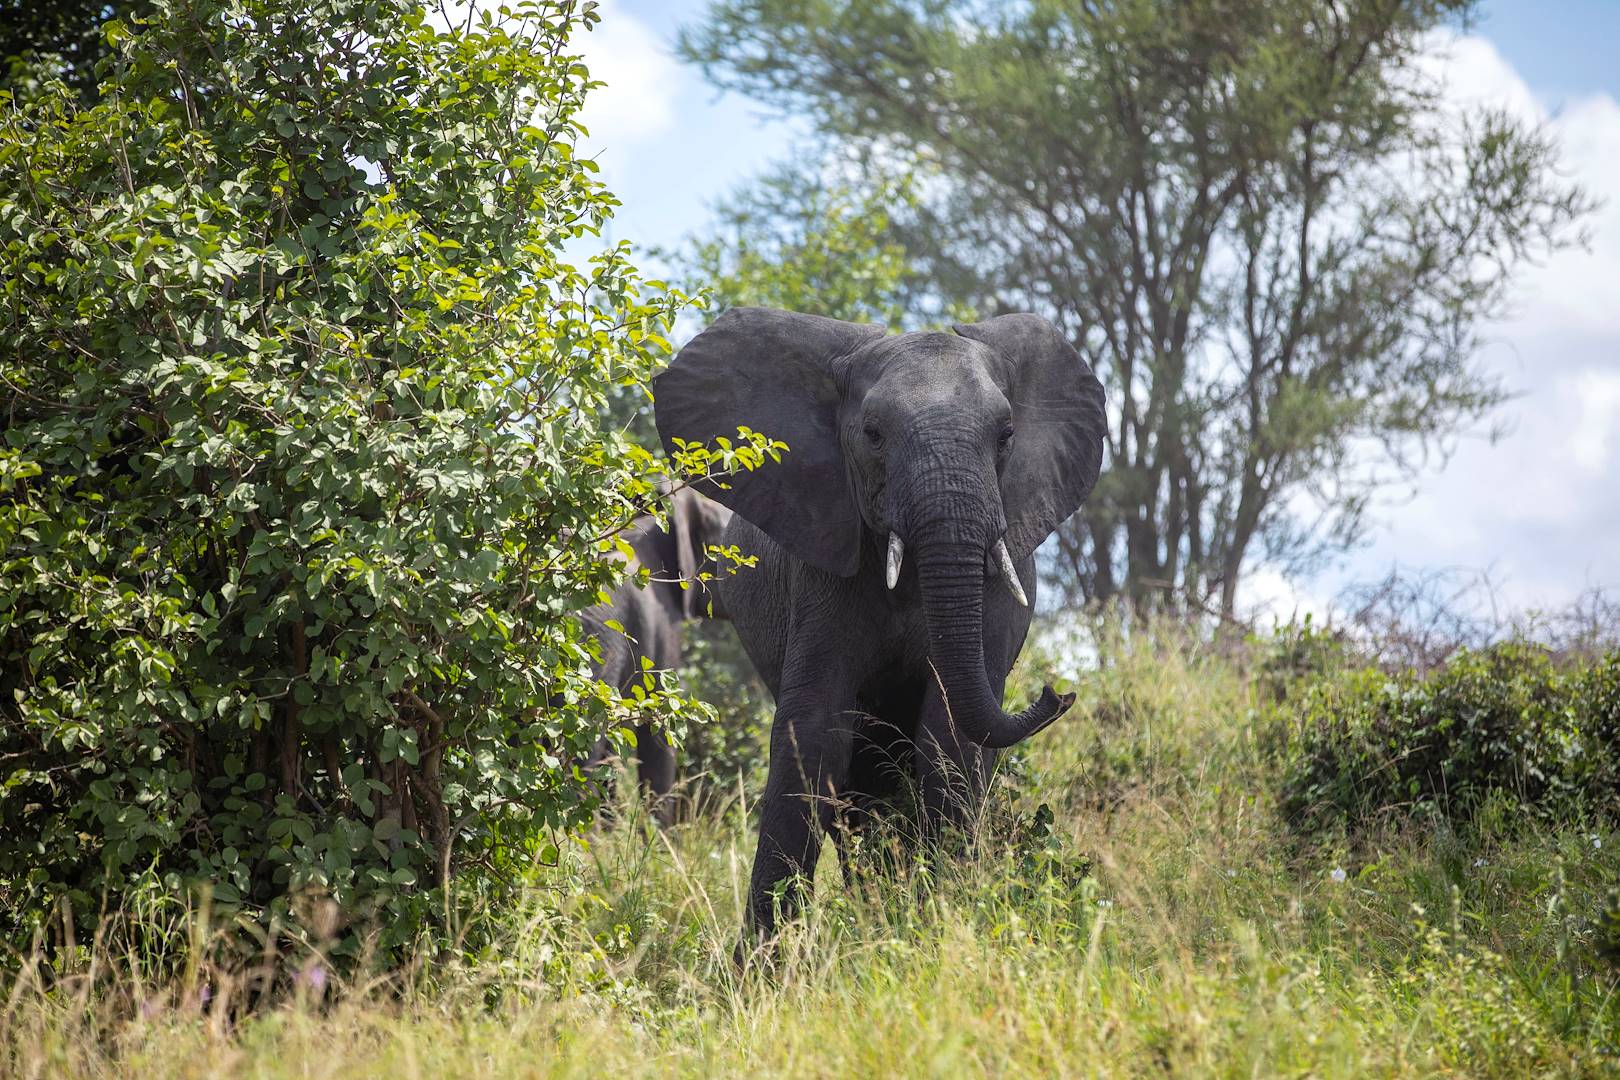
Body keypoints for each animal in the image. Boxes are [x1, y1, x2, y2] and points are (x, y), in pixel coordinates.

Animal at [653, 307, 1106, 944]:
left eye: (1006, 435)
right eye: (872, 434)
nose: (1058, 692)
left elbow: (948, 737)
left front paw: (939, 920)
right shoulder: (821, 569)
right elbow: (813, 734)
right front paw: (764, 962)